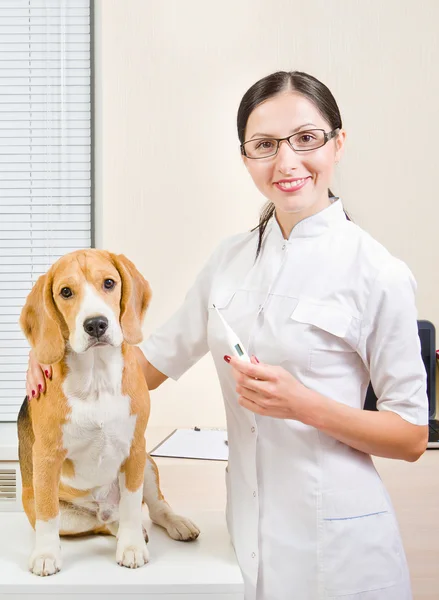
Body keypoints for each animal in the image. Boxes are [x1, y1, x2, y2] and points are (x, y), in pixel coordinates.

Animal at [18, 250, 200, 576]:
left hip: (148, 464)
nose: (96, 325)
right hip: (59, 513)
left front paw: (131, 546)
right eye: (66, 292)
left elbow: (132, 506)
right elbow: (48, 515)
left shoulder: (135, 449)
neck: (96, 377)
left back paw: (174, 523)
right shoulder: (47, 457)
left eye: (109, 283)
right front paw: (46, 554)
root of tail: (103, 507)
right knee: (98, 523)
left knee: (154, 508)